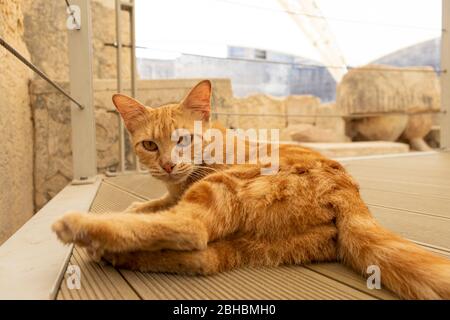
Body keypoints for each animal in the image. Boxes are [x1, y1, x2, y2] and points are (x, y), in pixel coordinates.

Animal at [52, 80, 450, 300]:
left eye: (183, 139)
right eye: (150, 145)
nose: (166, 164)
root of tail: (347, 189)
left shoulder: (195, 186)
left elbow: (159, 211)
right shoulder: (171, 194)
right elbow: (148, 206)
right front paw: (139, 206)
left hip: (223, 187)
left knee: (190, 228)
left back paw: (81, 228)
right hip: (254, 246)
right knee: (202, 256)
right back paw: (116, 254)